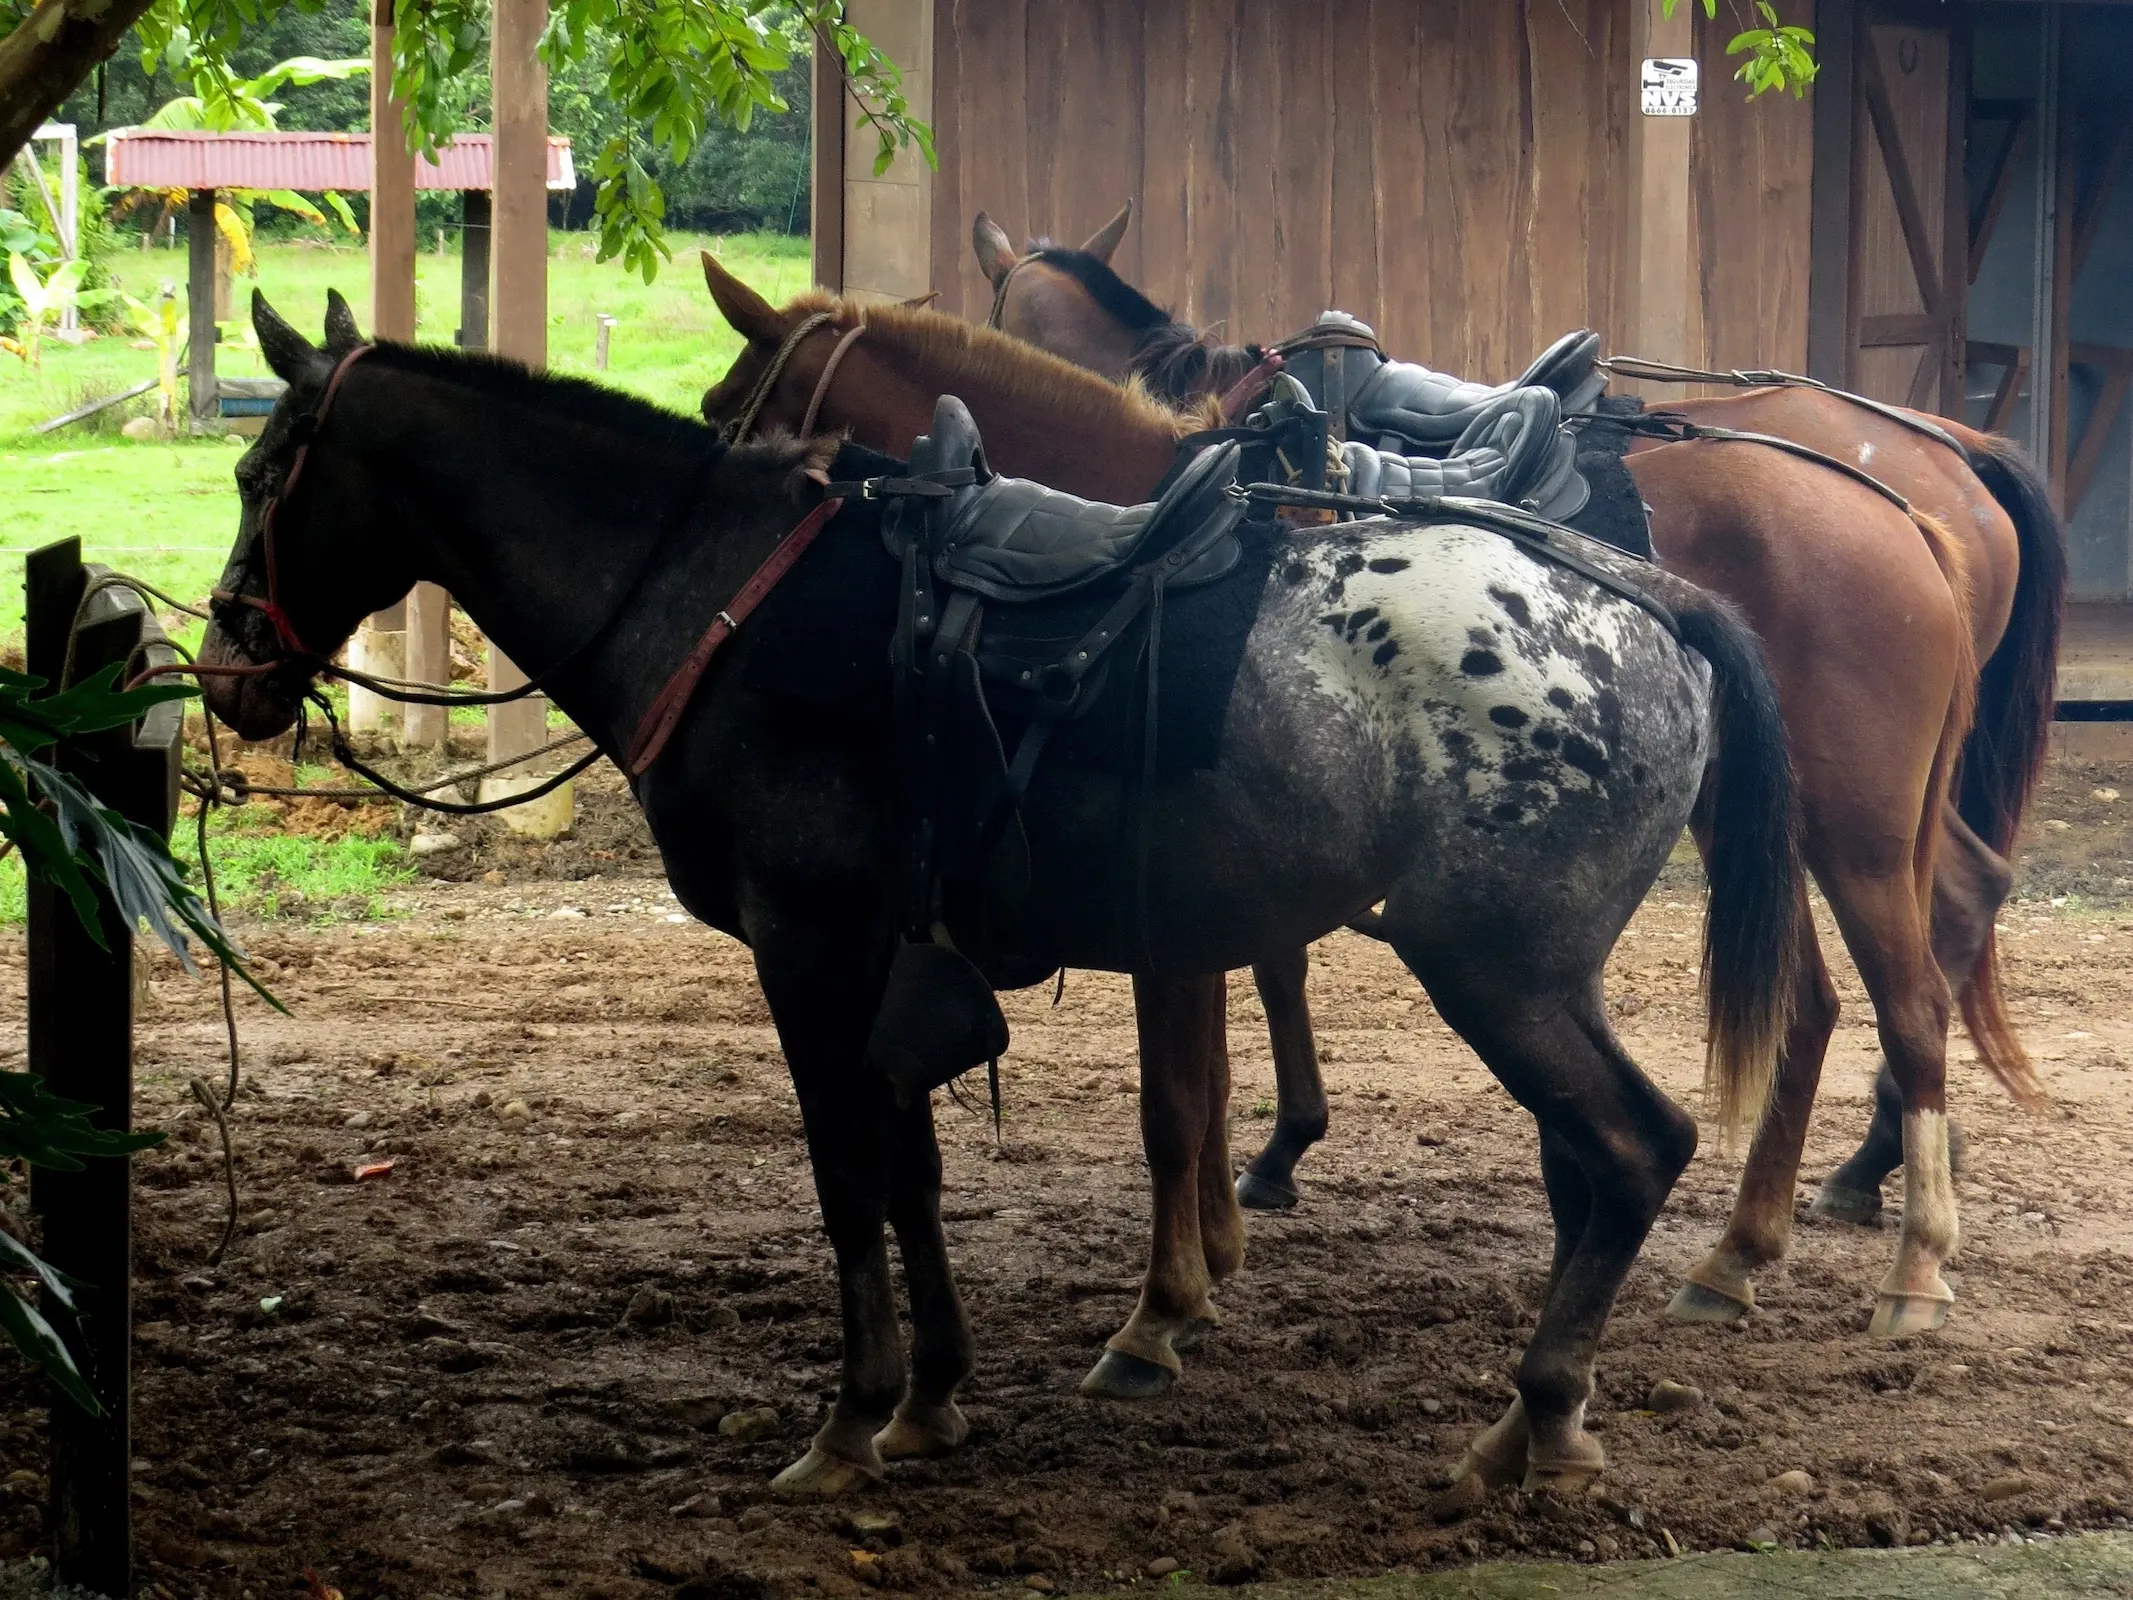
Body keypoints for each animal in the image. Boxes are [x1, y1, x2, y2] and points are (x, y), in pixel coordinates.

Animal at [203, 294, 1800, 1510]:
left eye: (261, 474)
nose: (228, 672)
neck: (724, 603)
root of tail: (1639, 598)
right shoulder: (886, 963)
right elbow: (912, 1172)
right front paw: (931, 1400)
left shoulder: (809, 952)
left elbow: (850, 1177)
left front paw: (851, 1417)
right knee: (1602, 1163)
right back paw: (1546, 1412)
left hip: (1498, 972)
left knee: (1637, 1147)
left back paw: (1537, 1412)